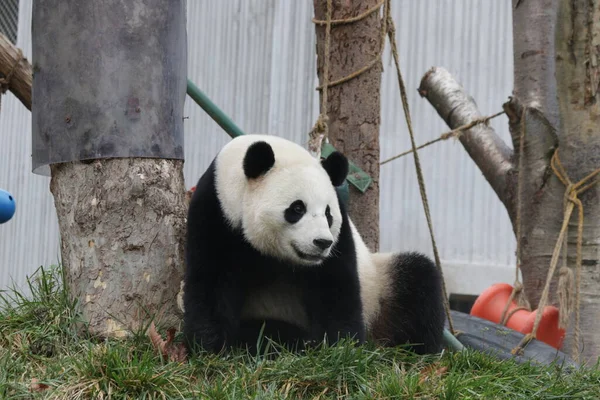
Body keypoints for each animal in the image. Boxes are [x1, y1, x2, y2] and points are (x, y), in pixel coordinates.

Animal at [183, 135, 446, 356]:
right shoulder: (216, 213)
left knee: (417, 283)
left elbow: (335, 287)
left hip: (379, 287)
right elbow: (211, 281)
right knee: (263, 329)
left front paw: (340, 349)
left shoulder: (341, 235)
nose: (322, 242)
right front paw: (212, 348)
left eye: (328, 214)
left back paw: (416, 351)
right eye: (297, 208)